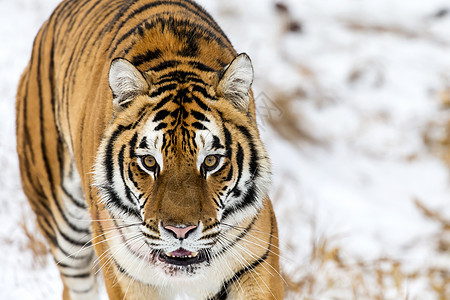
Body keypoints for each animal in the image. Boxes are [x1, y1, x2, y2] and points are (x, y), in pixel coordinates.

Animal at [17, 0, 284, 298]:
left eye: (211, 161)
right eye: (149, 162)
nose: (180, 232)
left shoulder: (256, 262)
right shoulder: (124, 274)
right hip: (62, 222)